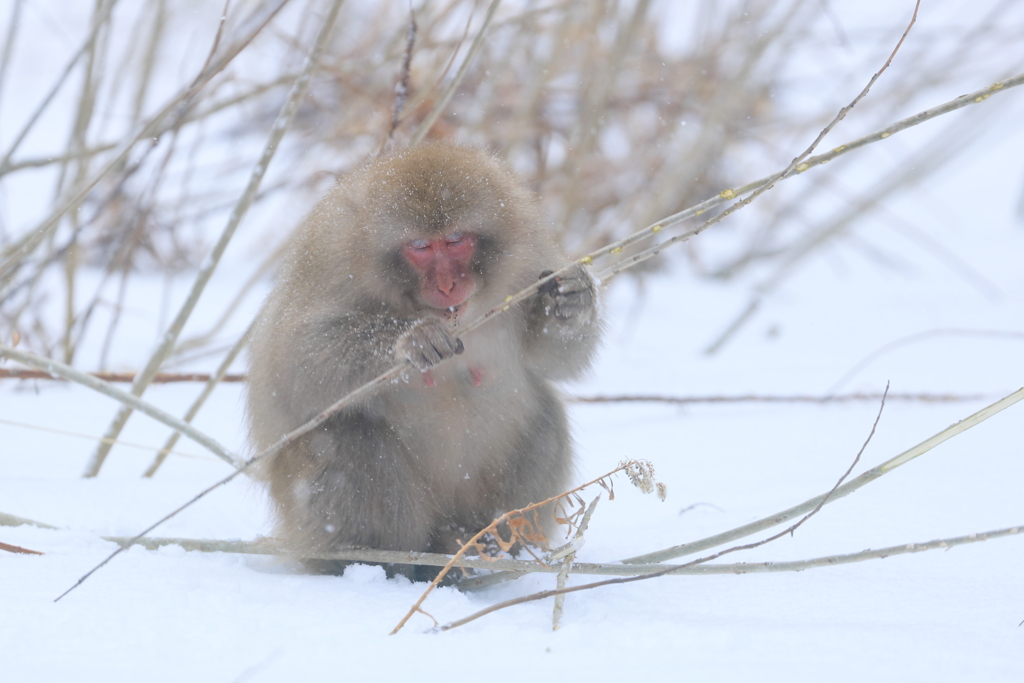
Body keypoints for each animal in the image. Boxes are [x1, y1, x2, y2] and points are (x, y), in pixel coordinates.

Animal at [245, 144, 598, 577]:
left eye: (456, 239)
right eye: (420, 247)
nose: (448, 284)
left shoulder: (530, 253)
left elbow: (554, 361)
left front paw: (571, 301)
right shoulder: (327, 259)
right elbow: (292, 365)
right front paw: (411, 339)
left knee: (545, 413)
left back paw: (492, 551)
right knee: (343, 435)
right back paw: (383, 563)